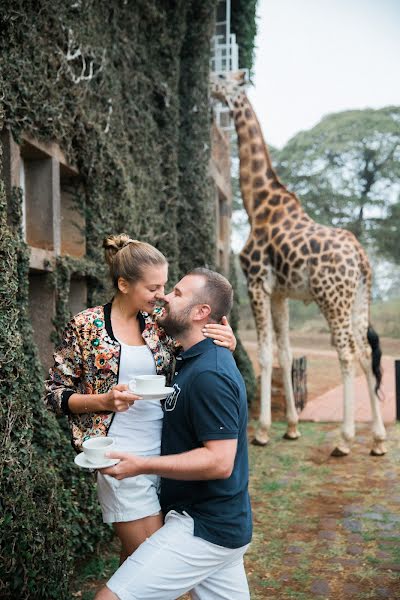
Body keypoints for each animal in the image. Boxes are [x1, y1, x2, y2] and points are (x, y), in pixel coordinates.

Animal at [211, 70, 386, 454]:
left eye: (222, 76)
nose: (210, 85)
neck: (258, 204)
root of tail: (362, 259)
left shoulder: (256, 282)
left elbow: (264, 354)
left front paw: (262, 431)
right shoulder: (280, 292)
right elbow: (286, 353)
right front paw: (291, 427)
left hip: (332, 298)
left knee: (347, 353)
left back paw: (345, 439)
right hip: (358, 300)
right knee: (366, 351)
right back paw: (379, 439)